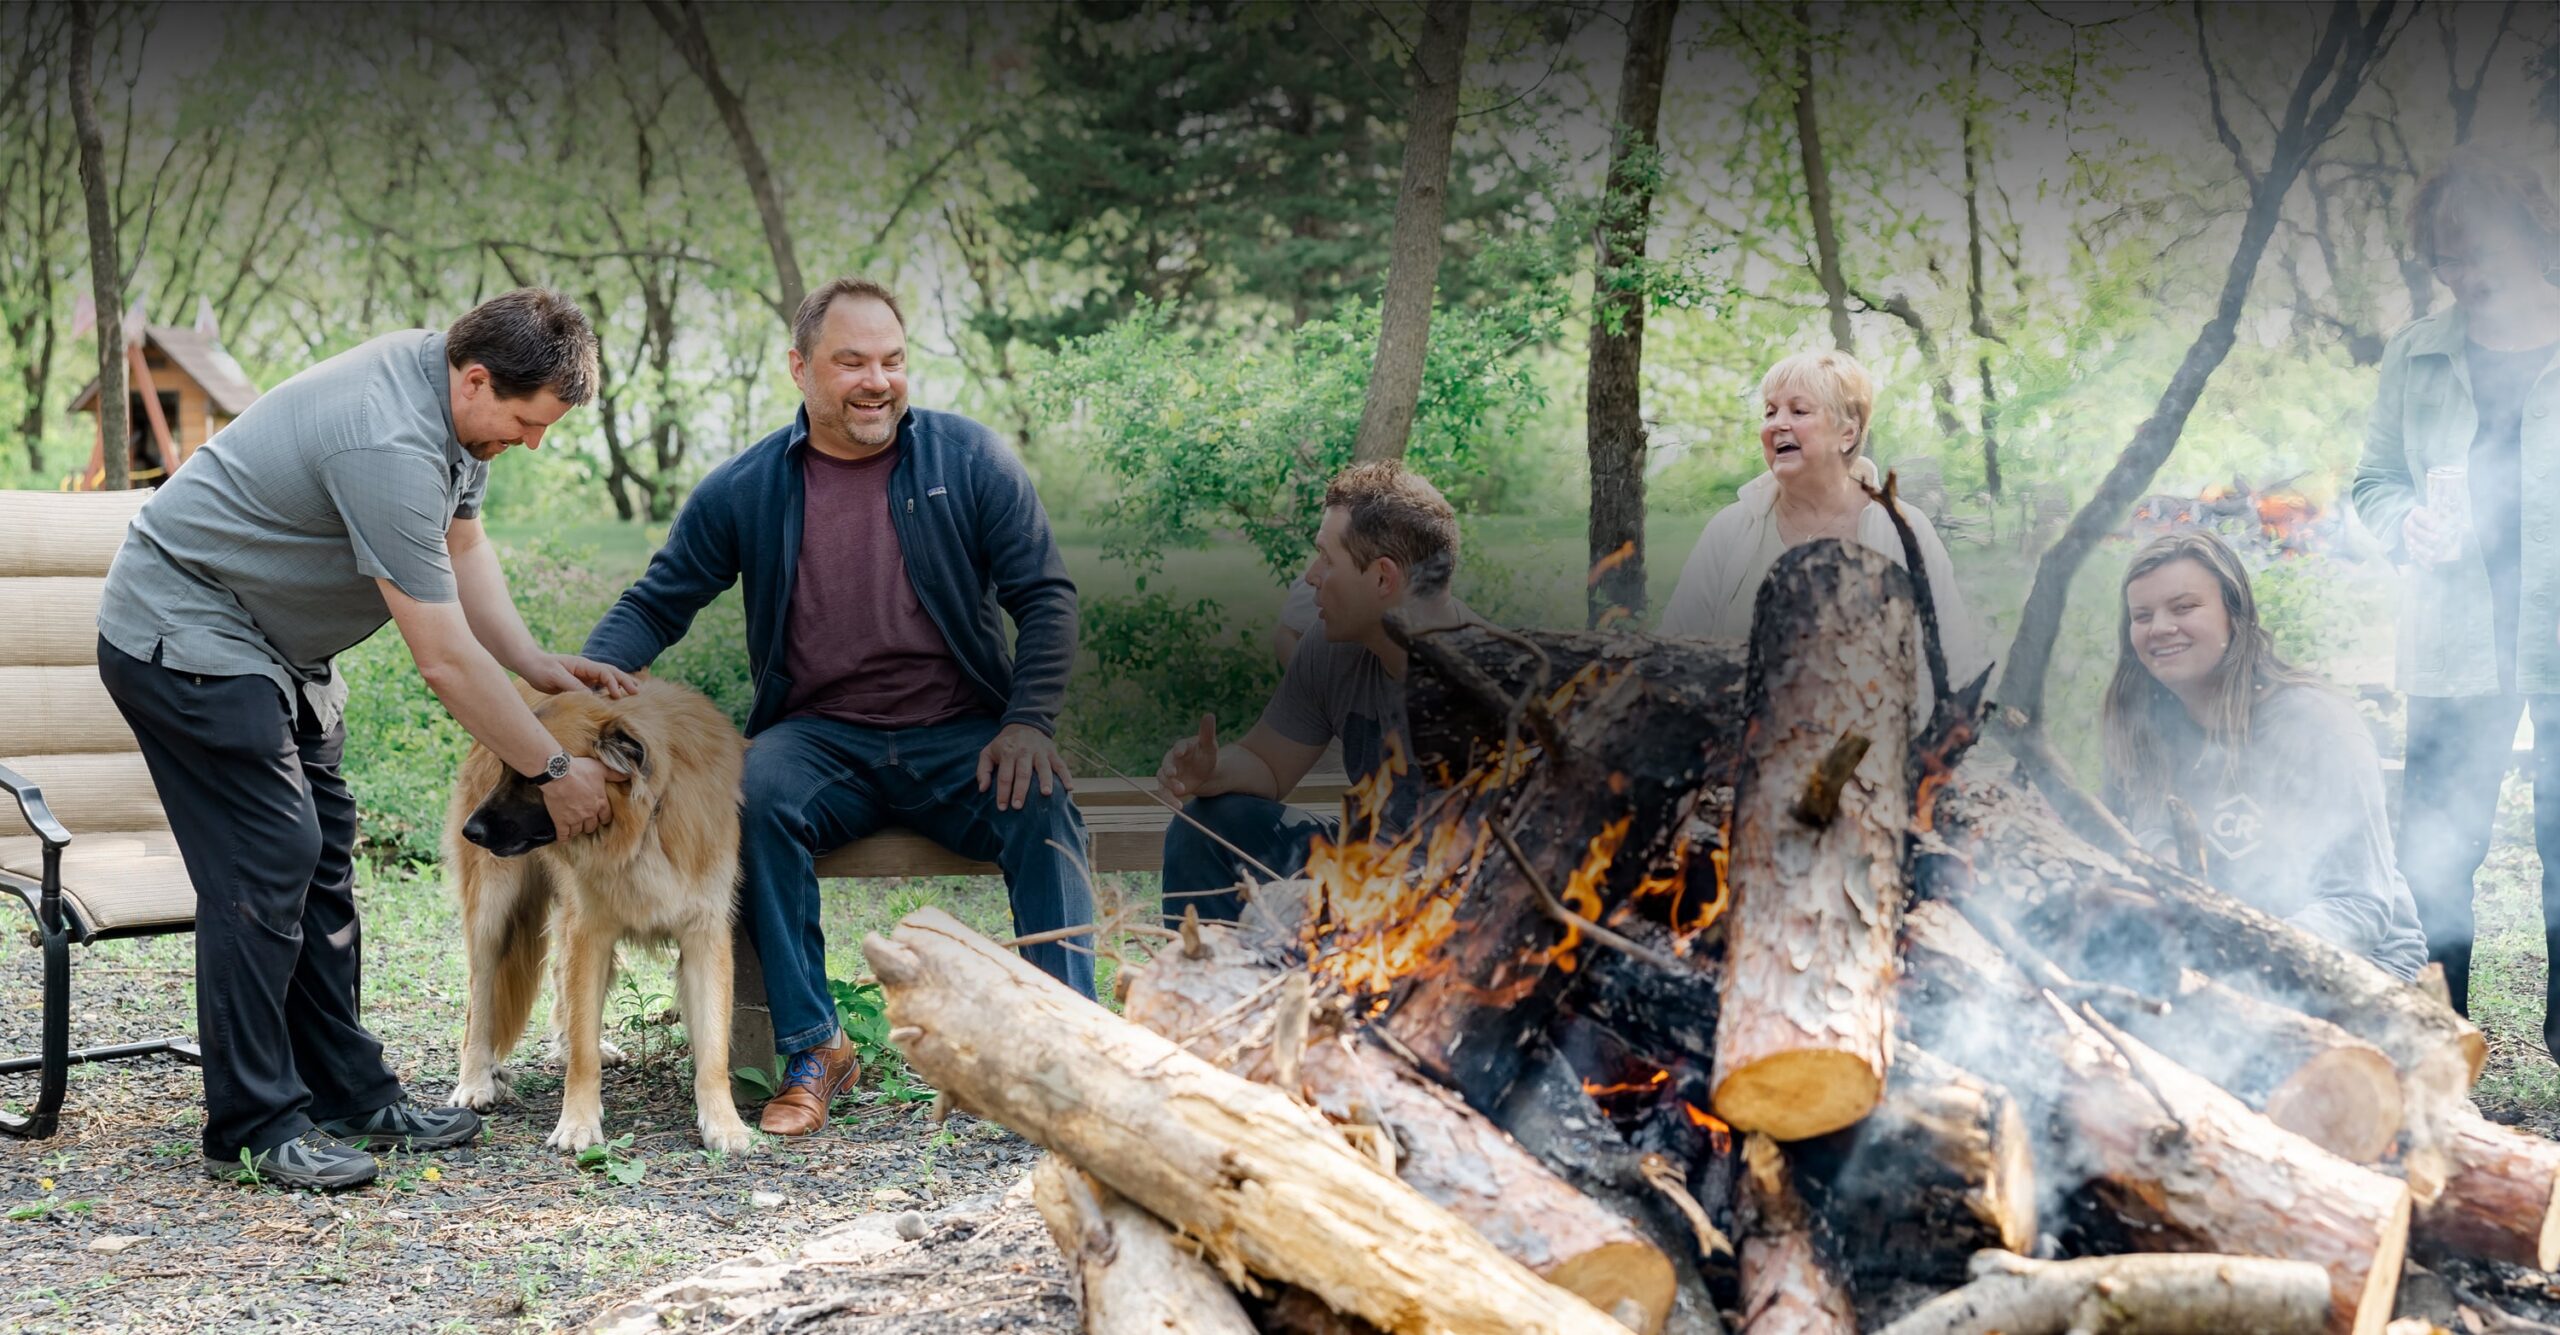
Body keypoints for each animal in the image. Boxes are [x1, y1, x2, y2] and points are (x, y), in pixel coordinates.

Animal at [440, 681, 752, 1147]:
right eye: (505, 769)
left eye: (531, 777)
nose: (471, 831)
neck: (644, 823)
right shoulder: (591, 932)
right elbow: (582, 1051)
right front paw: (578, 1124)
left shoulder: (705, 935)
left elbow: (713, 1046)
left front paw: (724, 1124)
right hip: (493, 914)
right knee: (480, 999)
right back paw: (475, 1080)